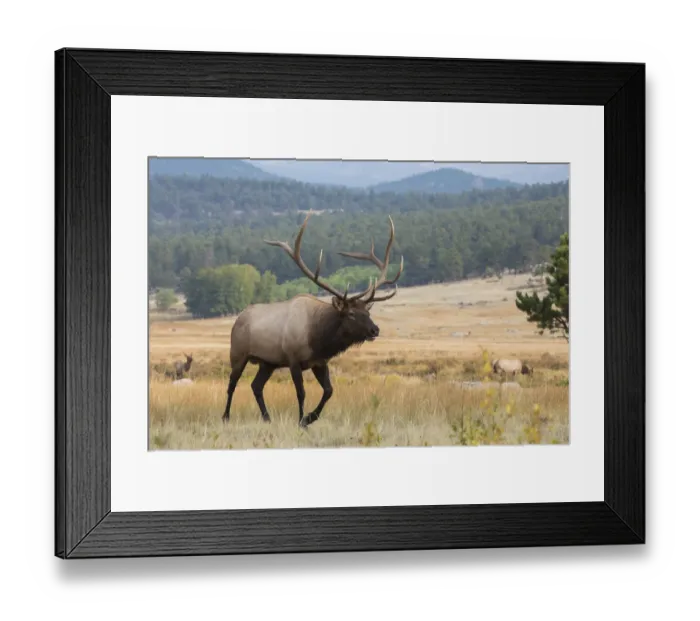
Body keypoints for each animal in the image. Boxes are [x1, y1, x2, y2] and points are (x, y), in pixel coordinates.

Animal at [222, 213, 404, 428]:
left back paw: (267, 418)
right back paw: (226, 416)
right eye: (351, 313)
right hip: (238, 353)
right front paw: (301, 420)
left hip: (268, 362)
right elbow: (301, 393)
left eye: (367, 313)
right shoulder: (293, 359)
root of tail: (238, 319)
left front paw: (310, 417)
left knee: (256, 386)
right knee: (232, 383)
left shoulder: (319, 362)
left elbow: (329, 391)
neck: (318, 338)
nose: (375, 330)